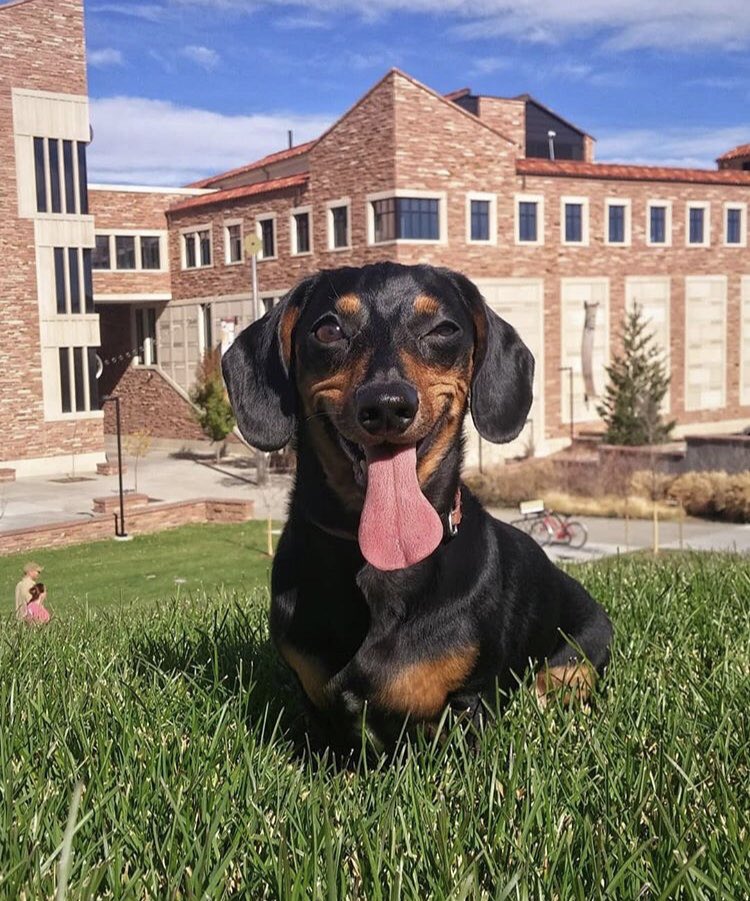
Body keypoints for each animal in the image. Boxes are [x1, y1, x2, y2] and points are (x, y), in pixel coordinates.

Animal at [223, 262, 612, 752]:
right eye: (328, 329)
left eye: (443, 329)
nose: (387, 406)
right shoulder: (317, 711)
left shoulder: (468, 703)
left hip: (576, 657)